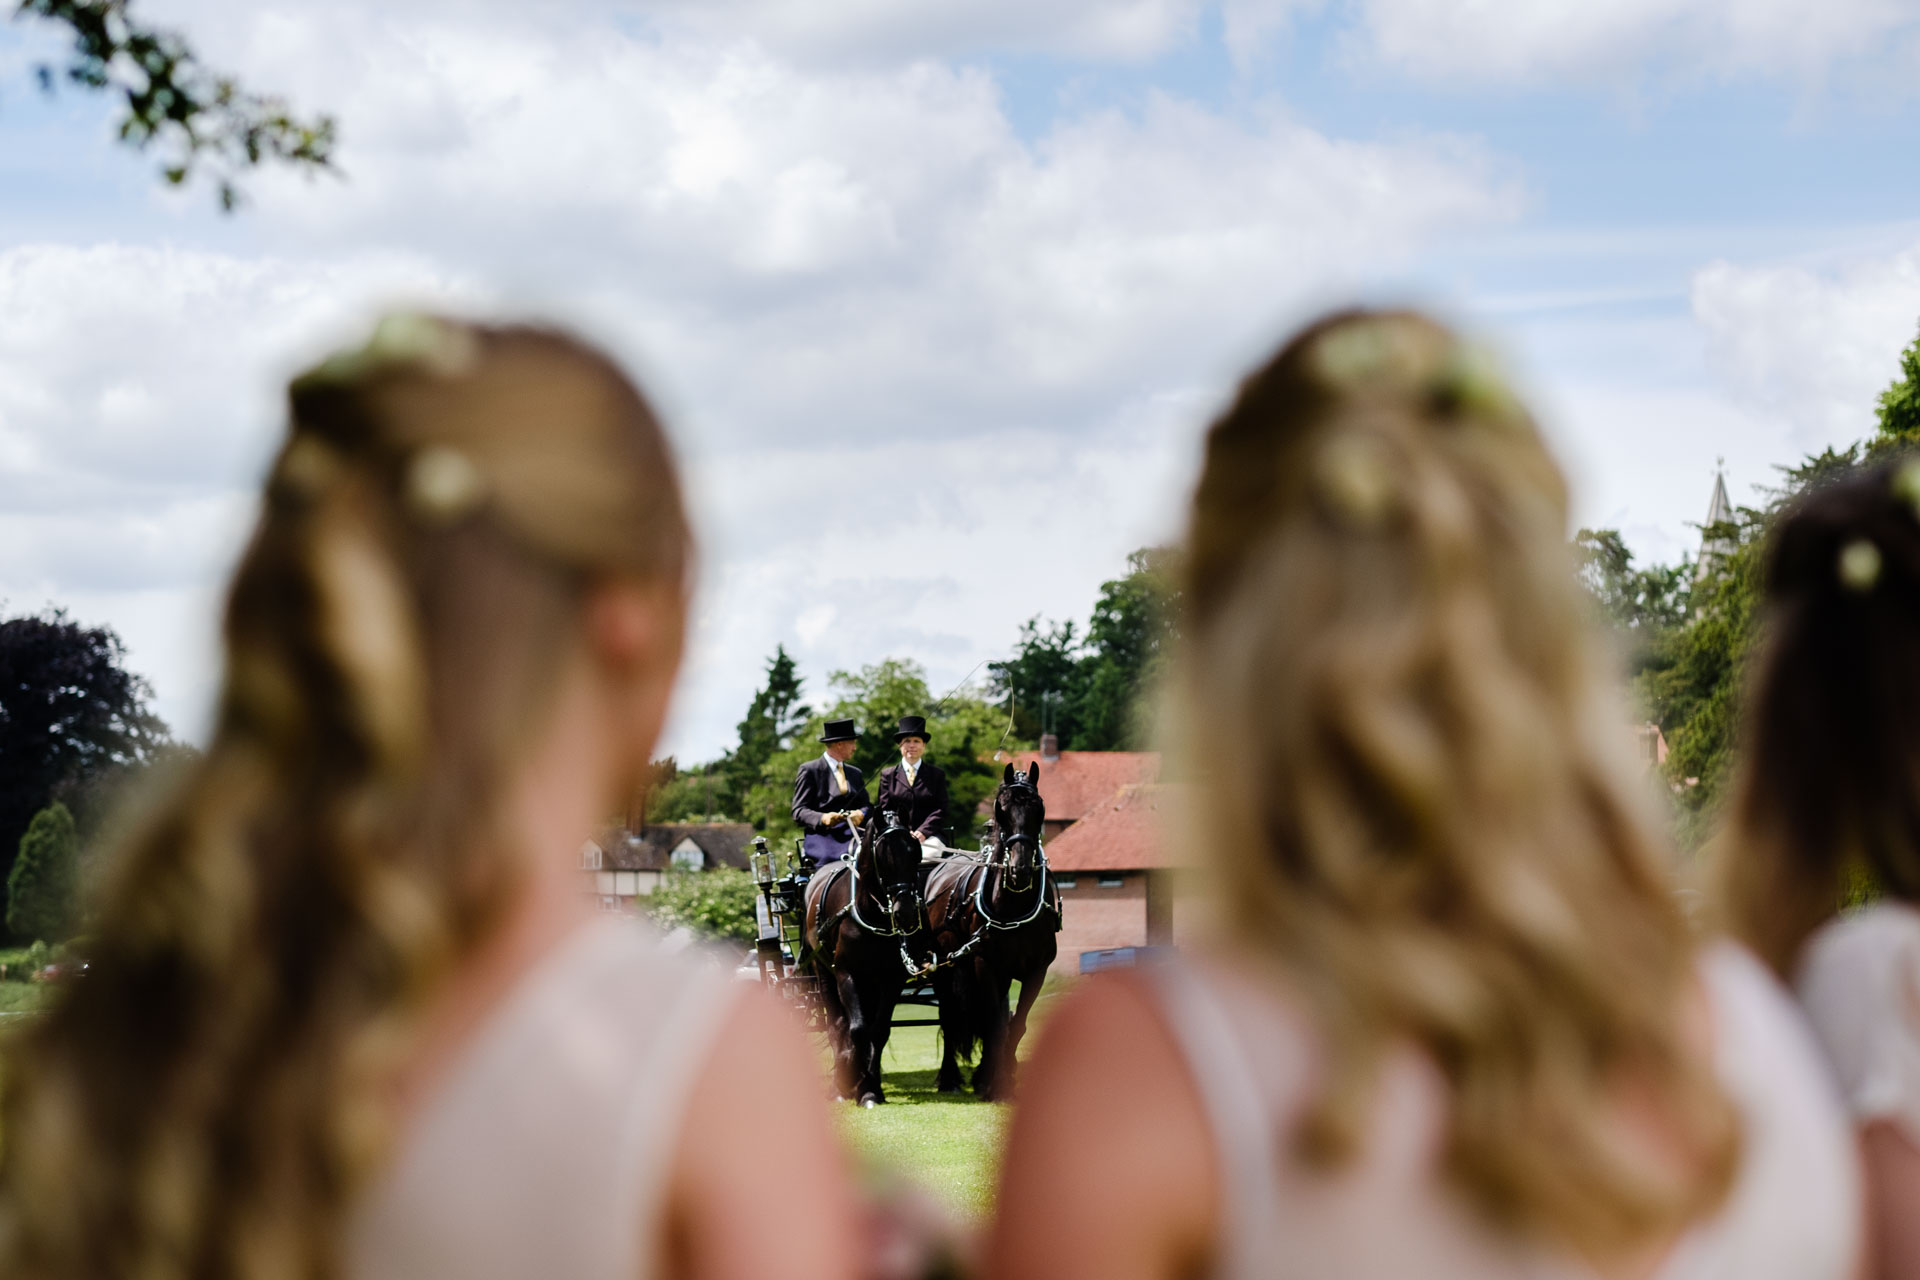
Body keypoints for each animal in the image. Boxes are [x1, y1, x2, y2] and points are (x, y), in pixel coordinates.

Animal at [802, 817, 929, 1105]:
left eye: (915, 852)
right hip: (823, 973)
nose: (905, 912)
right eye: (882, 856)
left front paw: (870, 1088)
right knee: (837, 1026)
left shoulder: (891, 980)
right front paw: (851, 1080)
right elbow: (857, 1029)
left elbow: (878, 1031)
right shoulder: (847, 974)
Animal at [921, 767, 1059, 1105]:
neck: (1014, 905)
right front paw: (995, 1085)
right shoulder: (986, 965)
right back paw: (950, 1078)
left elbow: (1016, 1025)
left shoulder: (1036, 970)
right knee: (950, 1016)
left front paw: (1004, 1077)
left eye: (1039, 808)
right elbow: (994, 1025)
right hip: (945, 968)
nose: (1020, 870)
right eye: (1001, 810)